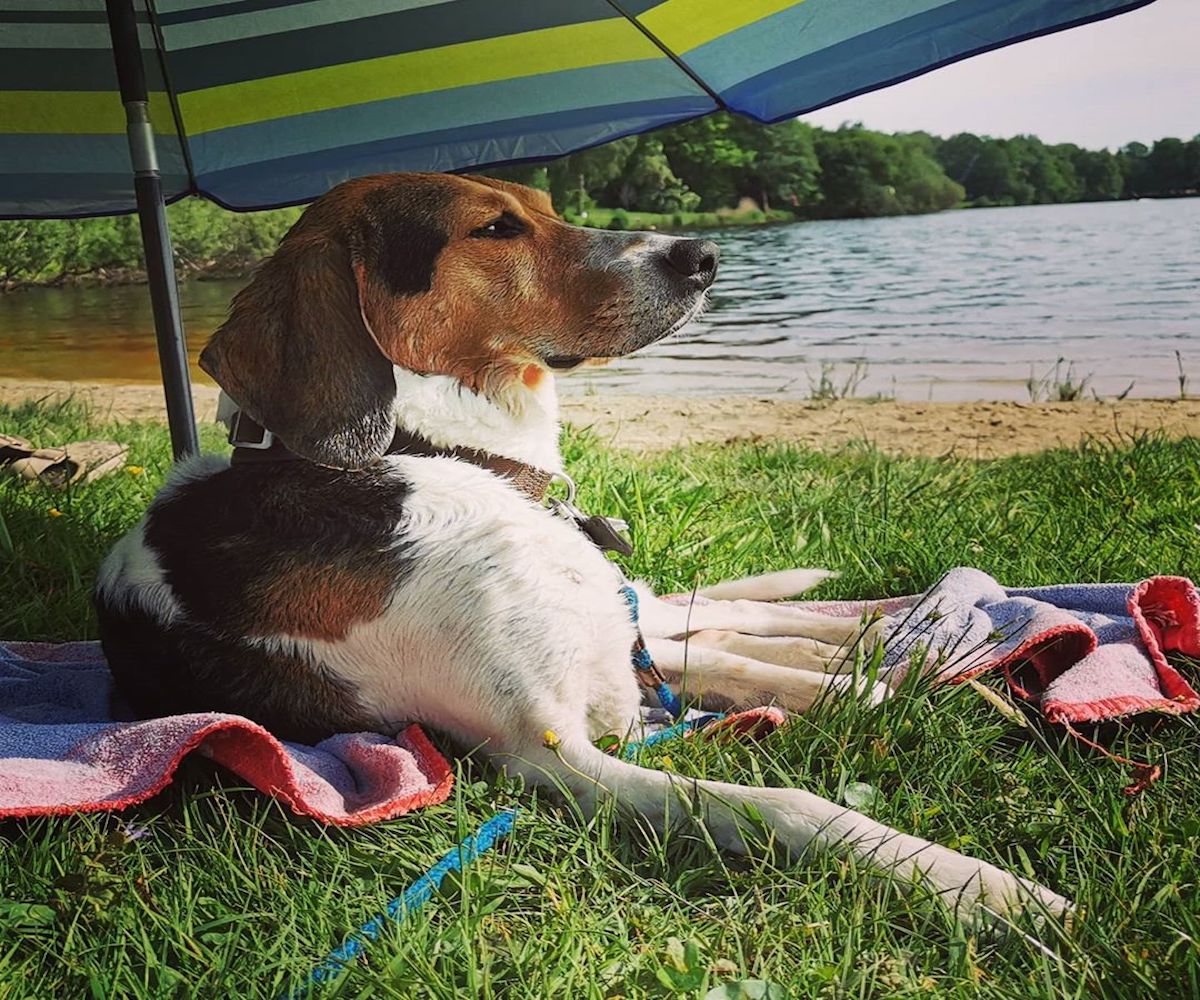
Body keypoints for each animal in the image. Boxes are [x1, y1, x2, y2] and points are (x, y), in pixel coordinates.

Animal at [96, 169, 1070, 921]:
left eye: (546, 204)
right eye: (494, 227)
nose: (702, 257)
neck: (434, 455)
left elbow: (754, 667)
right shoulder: (560, 755)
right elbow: (794, 802)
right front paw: (982, 887)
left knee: (722, 617)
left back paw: (888, 630)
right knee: (718, 630)